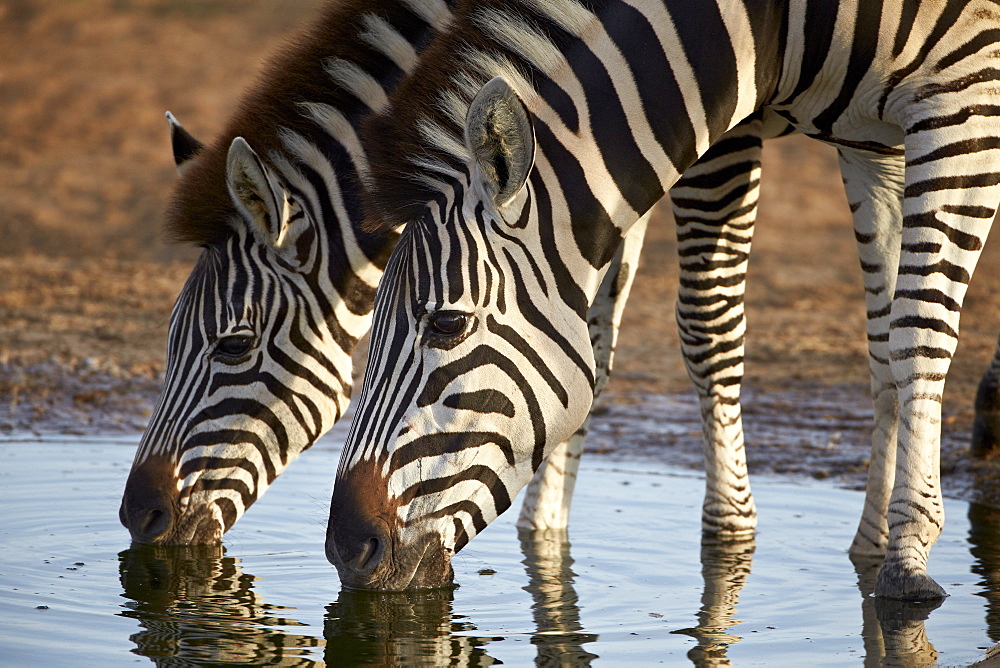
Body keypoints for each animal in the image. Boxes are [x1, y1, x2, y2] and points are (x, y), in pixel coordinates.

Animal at [328, 0, 1000, 600]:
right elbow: (883, 336)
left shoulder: (961, 101)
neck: (768, 19)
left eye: (448, 323)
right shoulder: (868, 139)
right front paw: (873, 542)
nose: (345, 547)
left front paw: (905, 558)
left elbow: (916, 331)